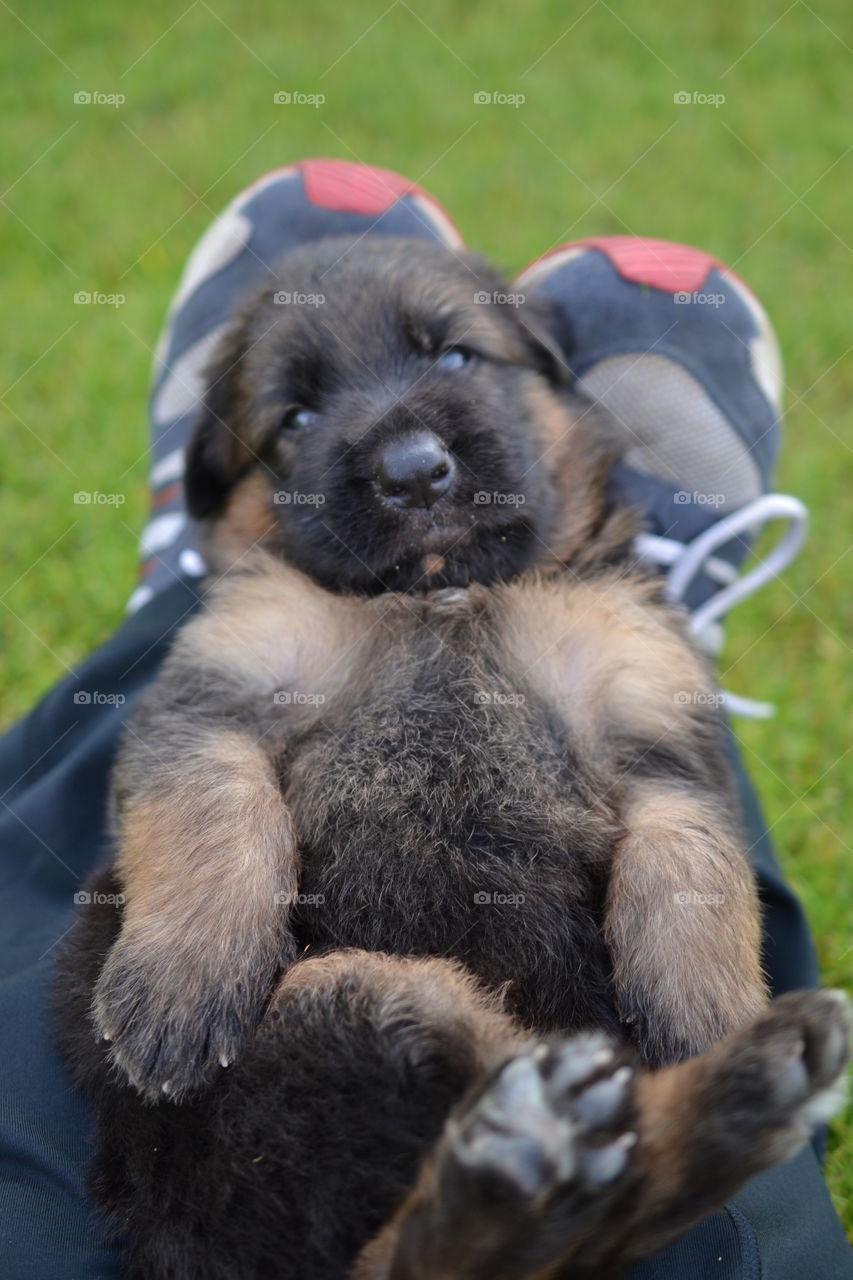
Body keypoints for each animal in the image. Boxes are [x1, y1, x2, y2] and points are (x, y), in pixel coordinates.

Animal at [54, 240, 850, 1280]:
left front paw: (701, 1012)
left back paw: (736, 1077)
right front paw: (181, 981)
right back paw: (570, 1131)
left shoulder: (659, 728)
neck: (442, 598)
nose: (413, 472)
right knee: (496, 1225)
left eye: (456, 357)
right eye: (295, 417)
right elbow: (213, 815)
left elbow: (692, 865)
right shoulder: (212, 699)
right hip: (365, 997)